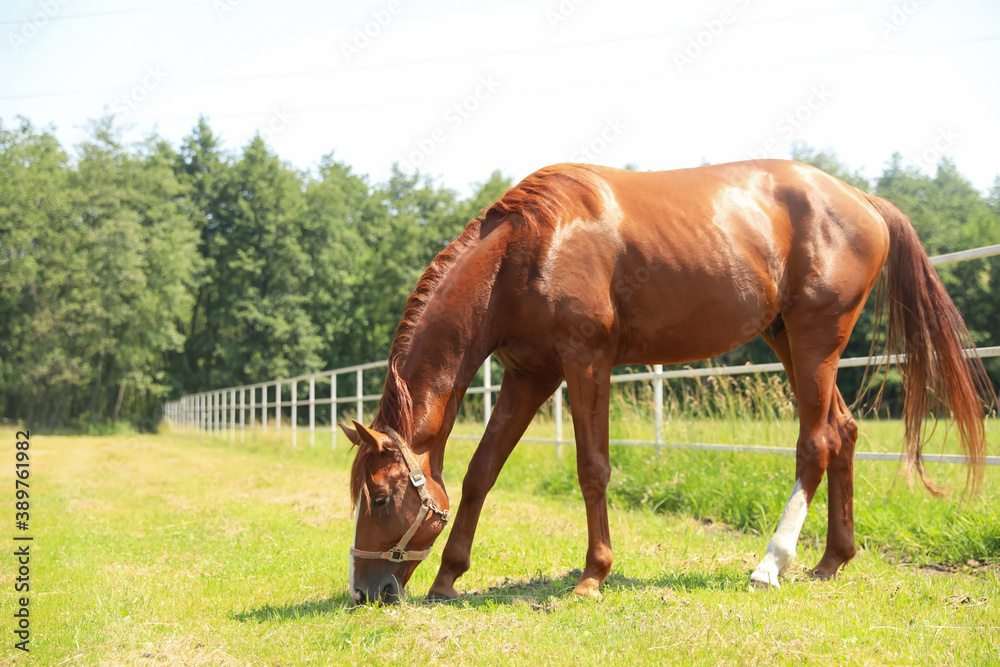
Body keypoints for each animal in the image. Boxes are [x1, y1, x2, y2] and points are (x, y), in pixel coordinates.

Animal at [339, 159, 992, 604]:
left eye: (380, 496)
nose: (365, 590)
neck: (529, 248)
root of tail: (862, 198)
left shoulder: (585, 362)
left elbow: (593, 469)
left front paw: (593, 575)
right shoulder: (531, 372)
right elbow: (480, 473)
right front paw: (449, 576)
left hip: (815, 340)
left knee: (818, 443)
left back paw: (770, 564)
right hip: (789, 339)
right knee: (847, 432)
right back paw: (831, 560)